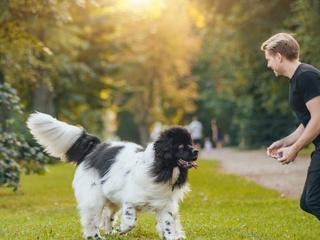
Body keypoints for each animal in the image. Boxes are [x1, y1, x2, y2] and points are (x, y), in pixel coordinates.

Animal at [26, 113, 198, 240]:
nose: (196, 151)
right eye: (181, 146)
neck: (161, 168)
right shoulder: (130, 201)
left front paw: (172, 236)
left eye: (191, 144)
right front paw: (120, 230)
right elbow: (130, 222)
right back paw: (95, 236)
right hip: (94, 197)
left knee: (107, 215)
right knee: (90, 219)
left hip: (111, 196)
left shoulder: (165, 204)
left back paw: (108, 232)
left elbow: (168, 225)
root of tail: (95, 147)